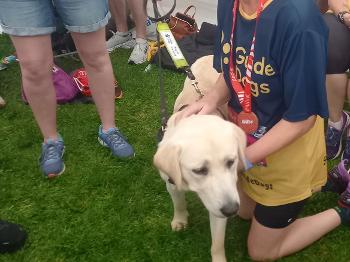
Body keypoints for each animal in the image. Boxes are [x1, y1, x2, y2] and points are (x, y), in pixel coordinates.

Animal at [153, 55, 246, 262]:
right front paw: (180, 220)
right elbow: (179, 203)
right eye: (199, 170)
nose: (232, 210)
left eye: (231, 162)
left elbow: (217, 243)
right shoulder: (171, 183)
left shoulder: (219, 208)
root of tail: (210, 55)